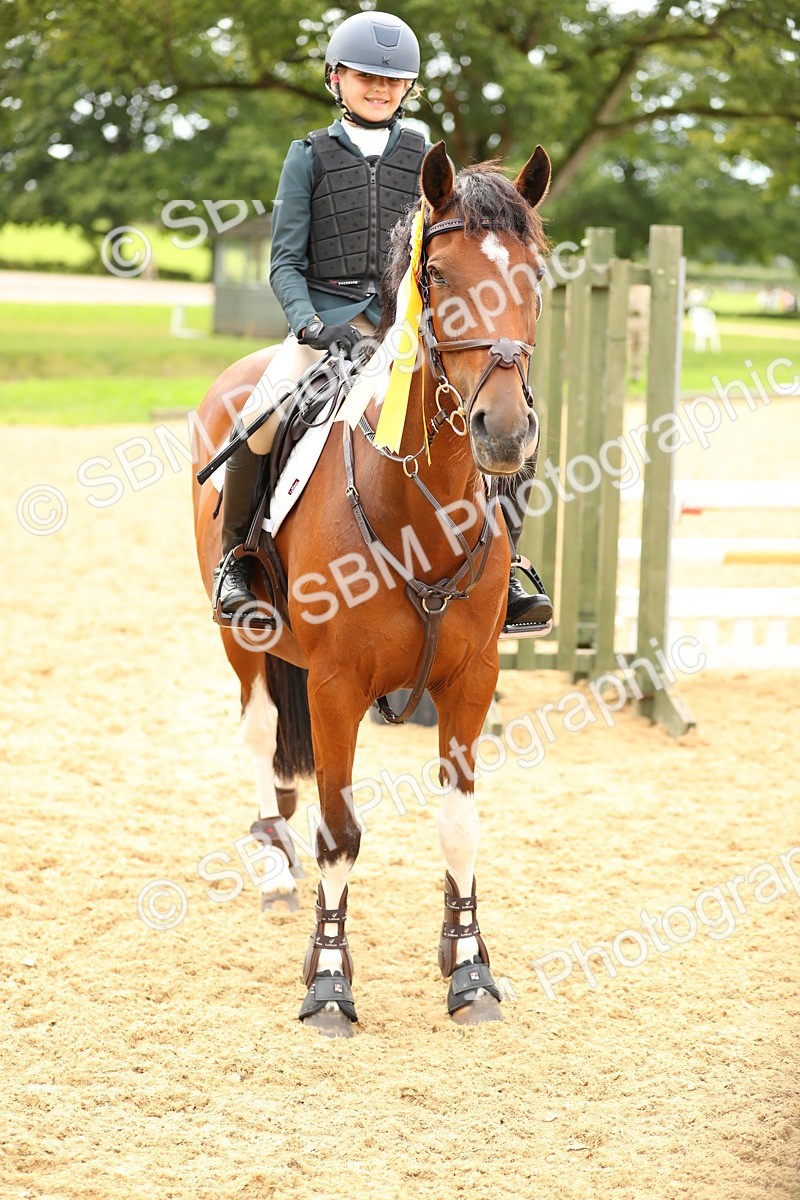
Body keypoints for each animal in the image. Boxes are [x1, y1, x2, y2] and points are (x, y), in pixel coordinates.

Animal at [192, 141, 551, 1036]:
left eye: (534, 274)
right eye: (440, 276)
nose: (504, 432)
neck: (419, 509)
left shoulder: (472, 680)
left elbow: (459, 827)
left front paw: (468, 968)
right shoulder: (335, 684)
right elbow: (340, 834)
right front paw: (328, 980)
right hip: (242, 637)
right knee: (261, 735)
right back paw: (274, 870)